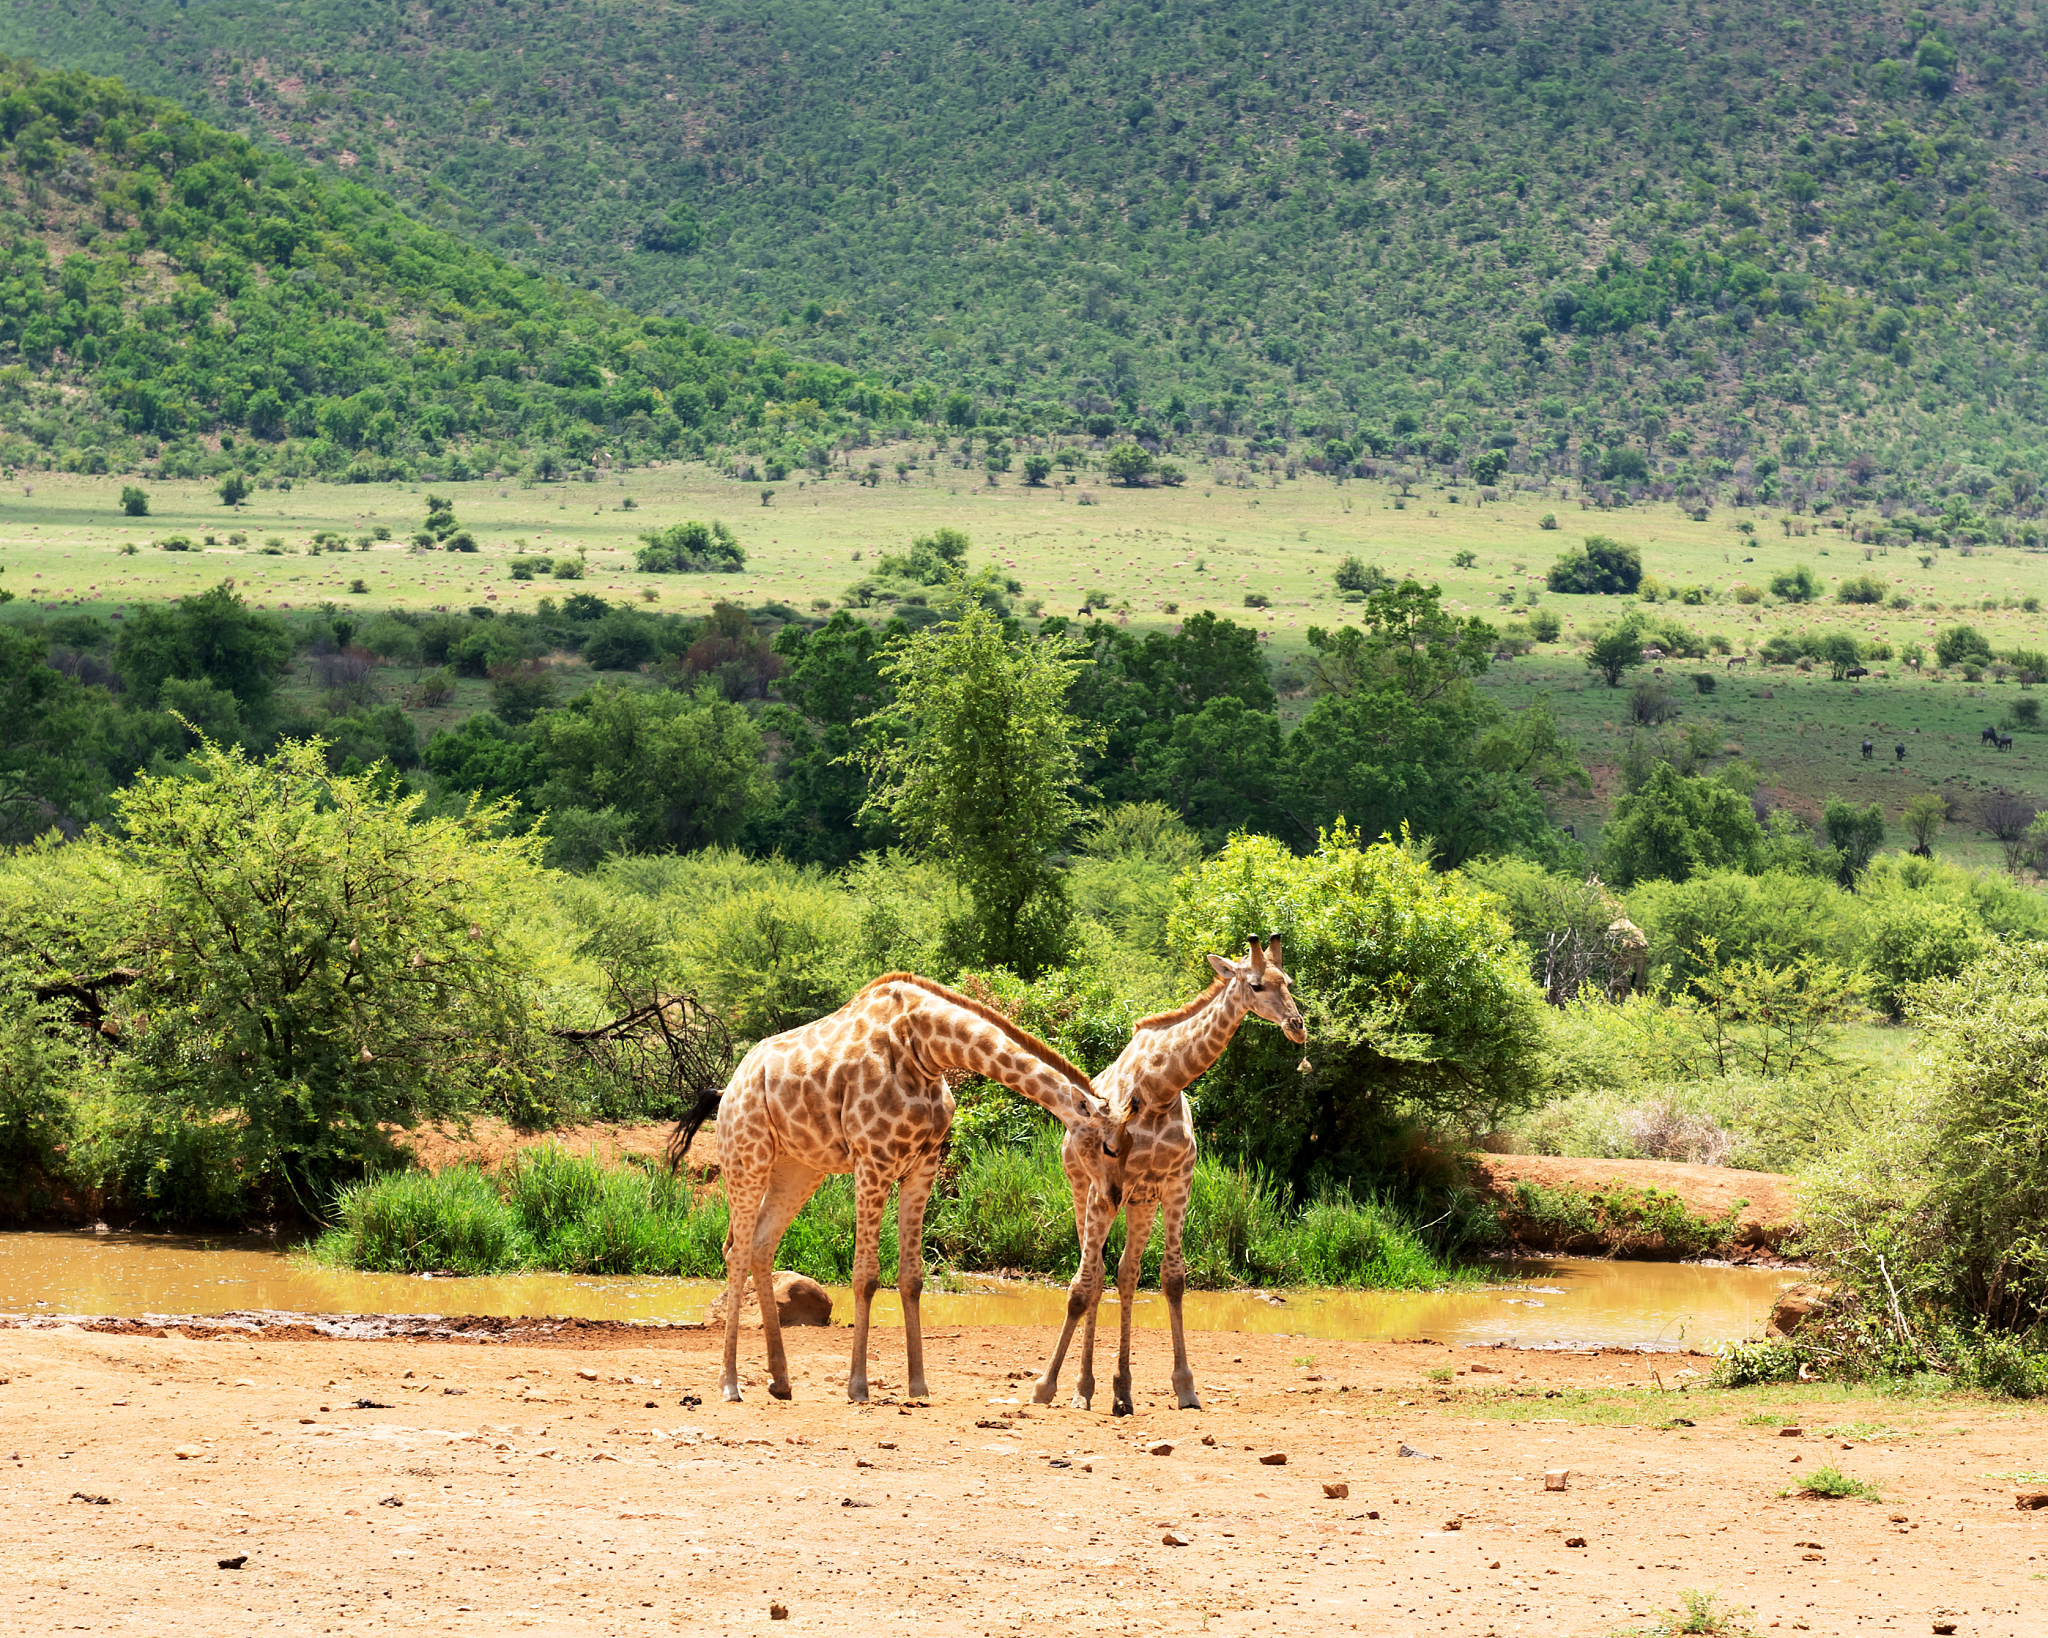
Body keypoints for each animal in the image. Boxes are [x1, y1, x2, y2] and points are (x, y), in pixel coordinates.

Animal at [675, 972, 1127, 1405]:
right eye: (1110, 1146)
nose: (1114, 1197)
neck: (926, 1049)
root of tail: (729, 1087)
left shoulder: (922, 1165)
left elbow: (911, 1278)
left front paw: (918, 1385)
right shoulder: (872, 1161)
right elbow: (865, 1277)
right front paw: (858, 1387)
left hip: (799, 1168)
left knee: (761, 1246)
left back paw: (781, 1381)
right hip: (746, 1155)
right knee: (735, 1252)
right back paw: (729, 1384)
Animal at [1032, 935, 1305, 1416]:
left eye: (1287, 981)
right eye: (1255, 985)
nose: (1297, 1026)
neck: (1160, 1086)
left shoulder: (1177, 1182)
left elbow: (1172, 1279)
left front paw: (1185, 1388)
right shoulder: (1103, 1190)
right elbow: (1083, 1285)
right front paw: (1048, 1386)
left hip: (1139, 1201)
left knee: (1124, 1273)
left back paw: (1121, 1389)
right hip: (1082, 1190)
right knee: (1094, 1275)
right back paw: (1083, 1387)